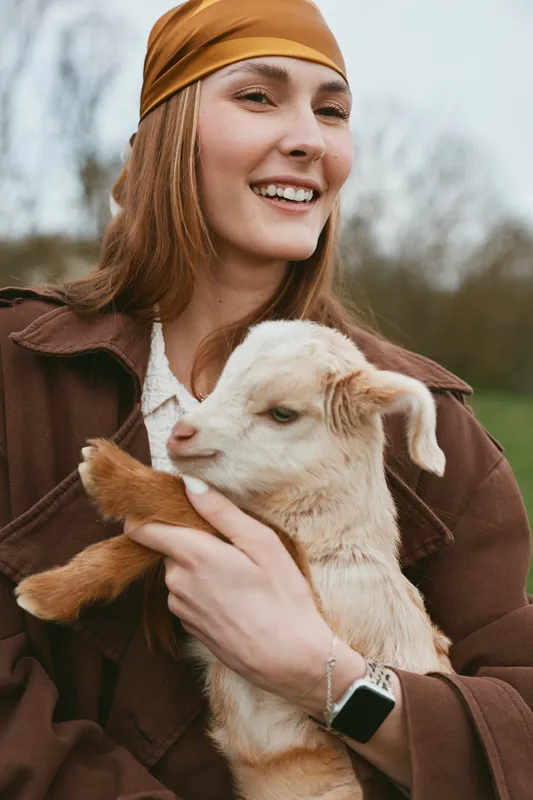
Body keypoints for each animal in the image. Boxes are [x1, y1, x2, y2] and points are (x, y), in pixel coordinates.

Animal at [16, 320, 453, 800]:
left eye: (282, 413)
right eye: (219, 384)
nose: (180, 434)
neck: (335, 546)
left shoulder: (320, 603)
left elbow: (211, 513)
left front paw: (107, 472)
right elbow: (171, 530)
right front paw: (50, 591)